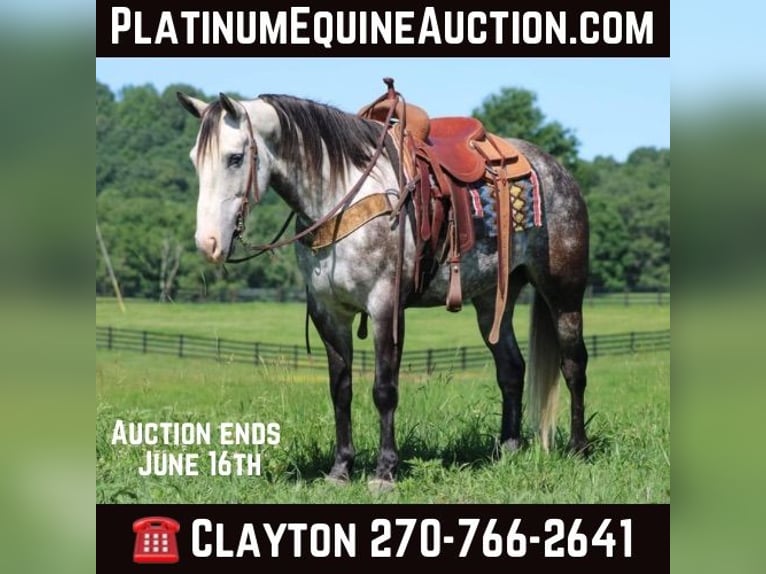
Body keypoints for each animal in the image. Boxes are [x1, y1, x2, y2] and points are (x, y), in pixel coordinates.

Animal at [176, 88, 590, 488]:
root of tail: (556, 170)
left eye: (234, 158)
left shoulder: (385, 308)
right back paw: (508, 448)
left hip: (564, 293)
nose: (207, 243)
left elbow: (384, 390)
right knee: (511, 368)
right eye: (194, 160)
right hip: (492, 299)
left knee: (574, 364)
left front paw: (385, 471)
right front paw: (341, 469)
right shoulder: (329, 312)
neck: (340, 196)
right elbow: (340, 389)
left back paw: (578, 448)